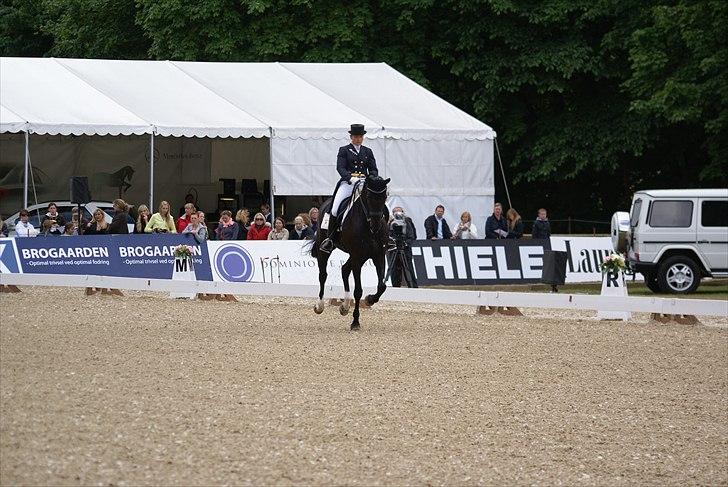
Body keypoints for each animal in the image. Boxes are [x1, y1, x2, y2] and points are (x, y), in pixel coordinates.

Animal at [308, 176, 390, 332]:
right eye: (368, 196)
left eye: (384, 196)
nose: (376, 225)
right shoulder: (357, 257)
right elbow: (358, 290)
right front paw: (355, 322)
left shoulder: (378, 256)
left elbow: (382, 286)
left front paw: (370, 299)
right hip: (326, 248)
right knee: (323, 275)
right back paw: (319, 306)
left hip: (359, 256)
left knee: (344, 270)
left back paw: (344, 307)